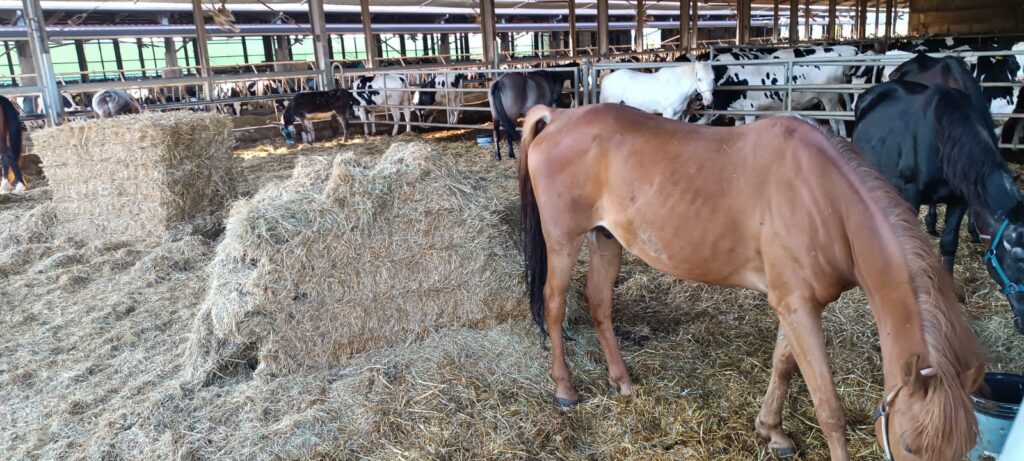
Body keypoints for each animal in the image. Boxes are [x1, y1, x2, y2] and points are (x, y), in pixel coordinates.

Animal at [519, 103, 985, 461]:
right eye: (909, 445)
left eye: (962, 451)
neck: (828, 201)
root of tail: (559, 115)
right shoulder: (796, 306)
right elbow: (828, 406)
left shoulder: (795, 304)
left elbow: (783, 365)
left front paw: (772, 431)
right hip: (563, 242)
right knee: (555, 304)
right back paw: (565, 389)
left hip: (606, 239)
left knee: (599, 303)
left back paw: (622, 382)